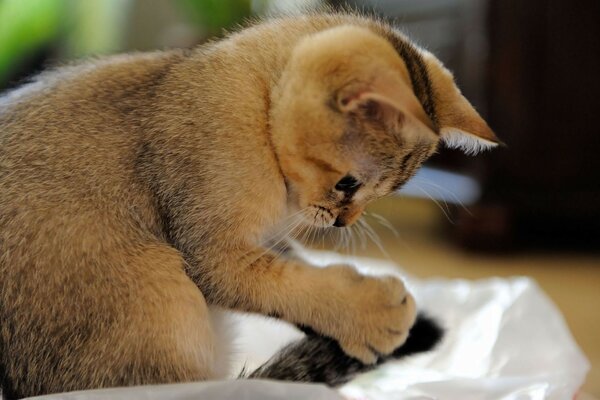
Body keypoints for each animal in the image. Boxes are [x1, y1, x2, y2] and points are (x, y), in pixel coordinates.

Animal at [0, 10, 496, 398]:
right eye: (348, 184)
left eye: (380, 194)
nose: (342, 222)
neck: (257, 105)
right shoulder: (212, 253)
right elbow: (286, 285)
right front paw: (369, 314)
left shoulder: (268, 235)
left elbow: (299, 267)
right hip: (165, 295)